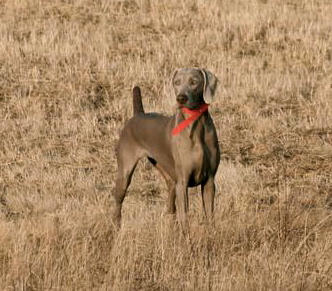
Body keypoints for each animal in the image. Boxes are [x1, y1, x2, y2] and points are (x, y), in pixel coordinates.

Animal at [113, 68, 220, 230]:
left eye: (194, 82)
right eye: (176, 82)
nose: (181, 98)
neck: (196, 126)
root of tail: (138, 114)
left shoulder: (209, 181)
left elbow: (210, 216)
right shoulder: (183, 182)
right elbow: (185, 218)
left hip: (167, 175)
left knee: (170, 204)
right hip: (125, 174)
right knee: (118, 203)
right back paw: (115, 228)